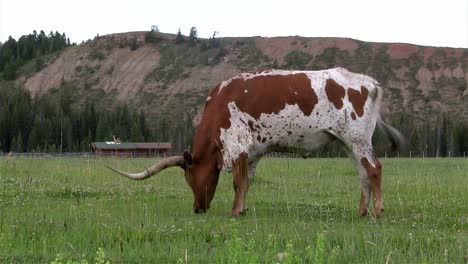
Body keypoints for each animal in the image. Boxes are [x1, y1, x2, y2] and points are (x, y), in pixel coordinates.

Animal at [107, 67, 402, 218]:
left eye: (190, 180)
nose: (198, 209)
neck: (218, 106)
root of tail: (368, 81)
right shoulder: (253, 152)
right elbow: (247, 181)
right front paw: (244, 208)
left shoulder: (237, 146)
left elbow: (238, 182)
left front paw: (235, 211)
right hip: (349, 143)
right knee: (363, 174)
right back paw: (361, 211)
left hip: (358, 139)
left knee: (374, 169)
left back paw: (377, 210)